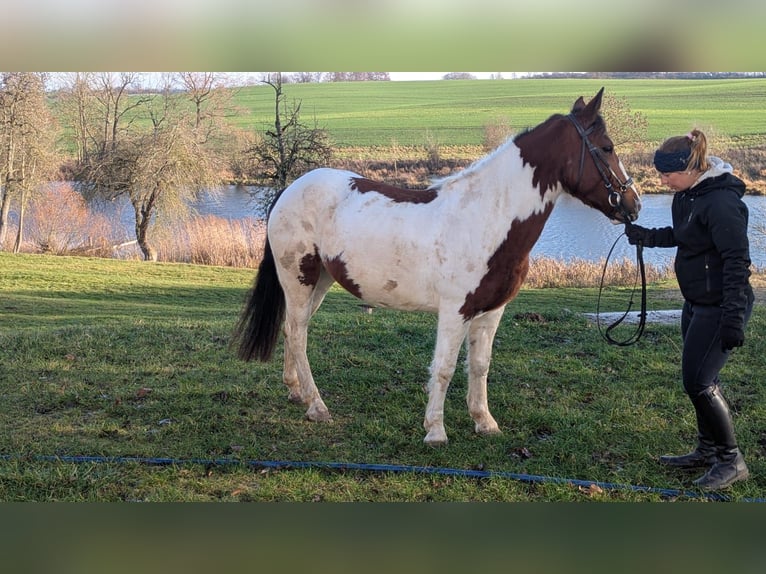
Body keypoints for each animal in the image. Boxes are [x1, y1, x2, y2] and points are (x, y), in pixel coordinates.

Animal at [233, 88, 641, 445]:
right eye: (606, 147)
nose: (633, 205)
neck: (486, 217)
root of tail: (290, 189)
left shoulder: (491, 311)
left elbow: (479, 366)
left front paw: (484, 422)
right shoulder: (455, 311)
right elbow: (444, 368)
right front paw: (435, 431)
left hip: (318, 282)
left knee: (292, 330)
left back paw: (297, 394)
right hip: (298, 278)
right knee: (298, 334)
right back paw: (317, 407)